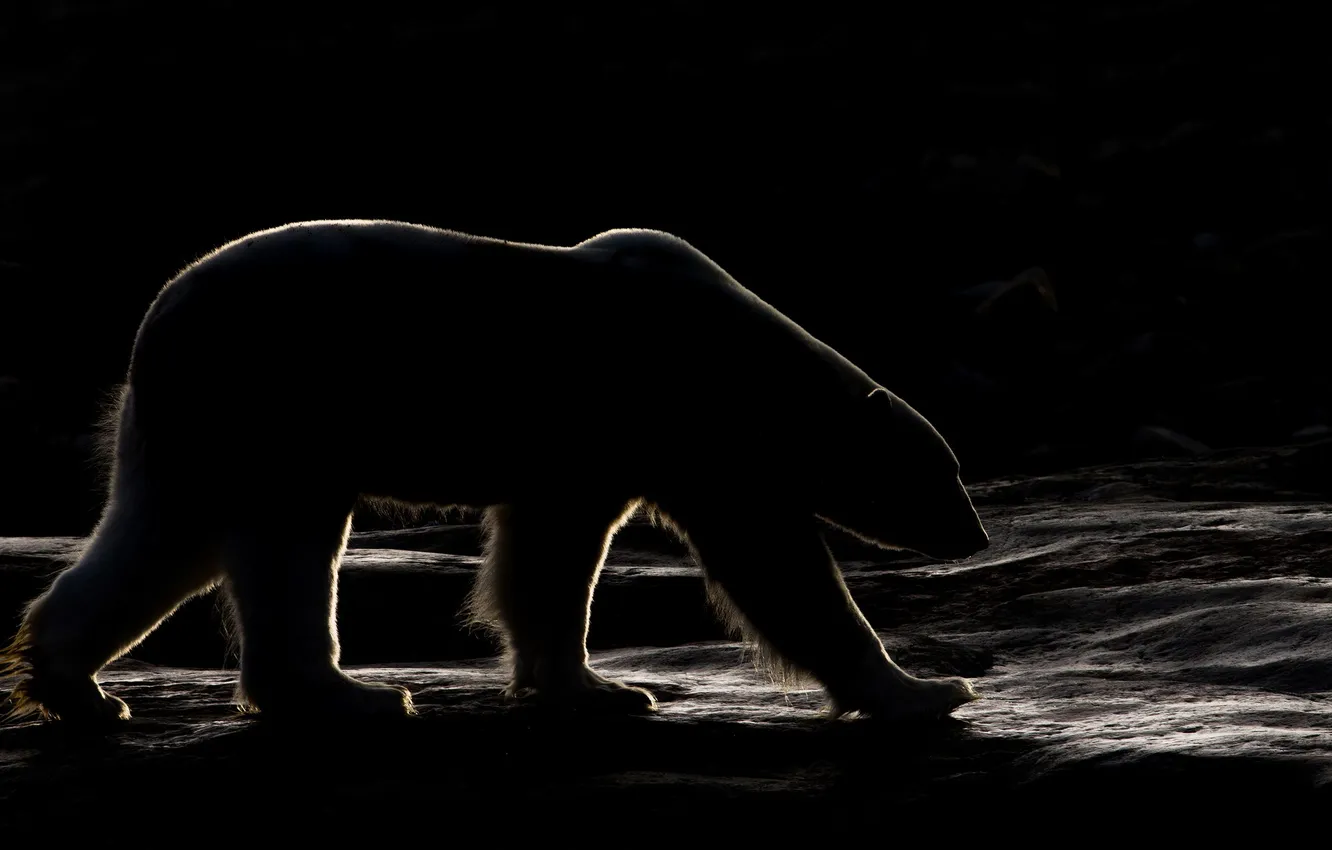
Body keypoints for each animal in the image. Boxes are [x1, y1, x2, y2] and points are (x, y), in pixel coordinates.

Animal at [0, 220, 990, 725]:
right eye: (945, 473)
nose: (975, 534)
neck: (743, 354)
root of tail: (157, 319)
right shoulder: (677, 417)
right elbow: (775, 564)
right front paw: (926, 689)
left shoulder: (592, 452)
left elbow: (547, 556)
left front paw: (596, 685)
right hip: (280, 396)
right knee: (280, 544)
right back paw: (354, 695)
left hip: (200, 426)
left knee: (163, 537)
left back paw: (74, 683)